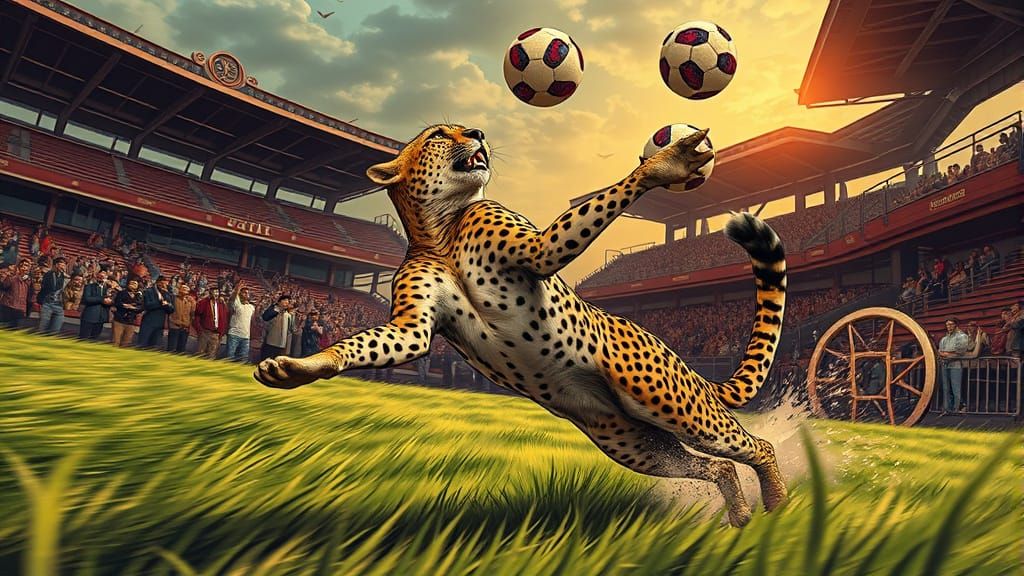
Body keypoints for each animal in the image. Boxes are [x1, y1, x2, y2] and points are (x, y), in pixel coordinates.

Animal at [255, 124, 789, 527]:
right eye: (437, 133)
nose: (477, 132)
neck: (441, 227)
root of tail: (678, 358)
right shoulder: (413, 328)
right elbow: (368, 344)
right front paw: (299, 367)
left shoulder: (538, 250)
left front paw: (664, 165)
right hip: (635, 443)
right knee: (716, 465)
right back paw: (740, 513)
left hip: (674, 404)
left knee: (755, 445)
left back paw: (778, 504)